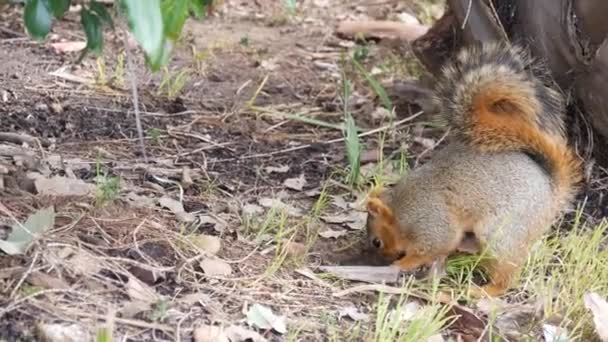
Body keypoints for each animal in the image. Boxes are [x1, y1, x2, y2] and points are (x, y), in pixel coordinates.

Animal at [364, 42, 580, 296]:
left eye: (376, 241)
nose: (383, 258)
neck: (400, 209)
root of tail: (551, 191)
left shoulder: (430, 223)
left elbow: (434, 248)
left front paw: (402, 263)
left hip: (500, 232)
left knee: (507, 274)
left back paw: (484, 290)